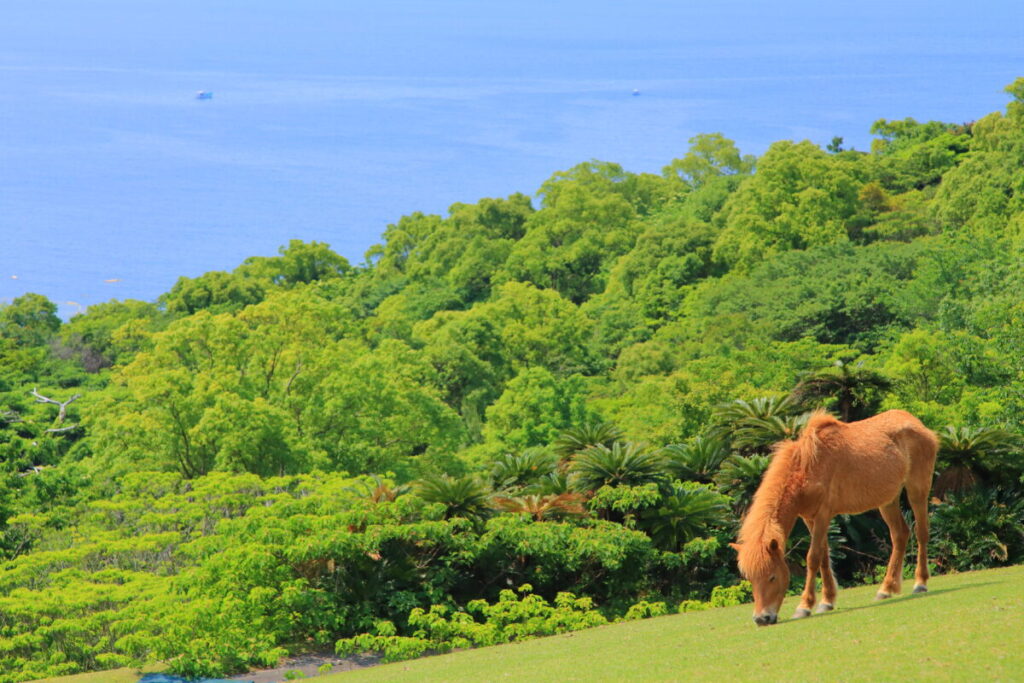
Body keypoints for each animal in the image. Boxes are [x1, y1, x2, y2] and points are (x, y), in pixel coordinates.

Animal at [730, 409, 937, 626]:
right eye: (751, 579)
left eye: (772, 577)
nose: (762, 618)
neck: (807, 467)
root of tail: (917, 424)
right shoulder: (810, 518)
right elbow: (822, 556)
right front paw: (827, 601)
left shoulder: (823, 515)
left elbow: (813, 557)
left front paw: (804, 606)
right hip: (888, 501)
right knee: (900, 535)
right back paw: (886, 588)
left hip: (917, 490)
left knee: (921, 533)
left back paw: (920, 583)